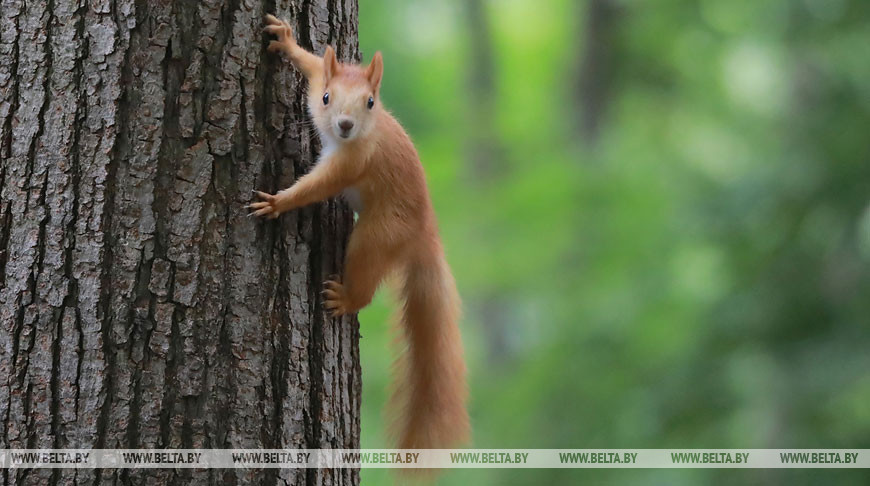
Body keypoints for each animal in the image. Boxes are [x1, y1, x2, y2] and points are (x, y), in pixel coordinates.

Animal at [252, 13, 470, 450]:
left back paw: (347, 298)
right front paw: (286, 40)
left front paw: (278, 203)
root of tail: (426, 234)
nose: (345, 125)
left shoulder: (352, 164)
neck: (357, 136)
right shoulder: (317, 83)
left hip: (377, 236)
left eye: (371, 102)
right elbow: (313, 64)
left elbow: (315, 188)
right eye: (326, 98)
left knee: (367, 276)